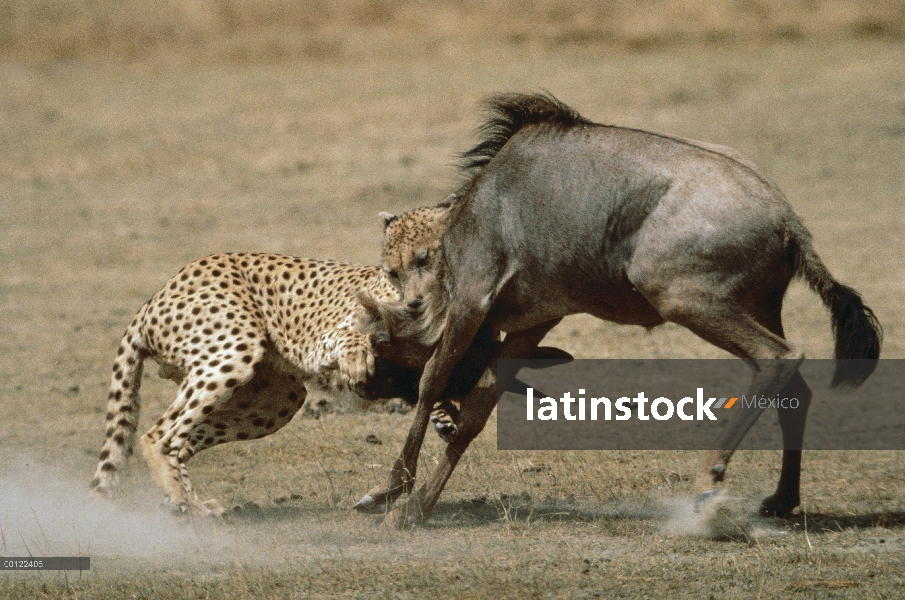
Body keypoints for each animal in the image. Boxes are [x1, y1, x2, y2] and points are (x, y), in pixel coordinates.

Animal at [89, 251, 470, 516]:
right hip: (234, 350)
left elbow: (434, 381)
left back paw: (186, 502)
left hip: (276, 400)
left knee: (180, 444)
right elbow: (348, 339)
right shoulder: (318, 339)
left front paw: (447, 417)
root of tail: (154, 298)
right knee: (157, 438)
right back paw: (189, 504)